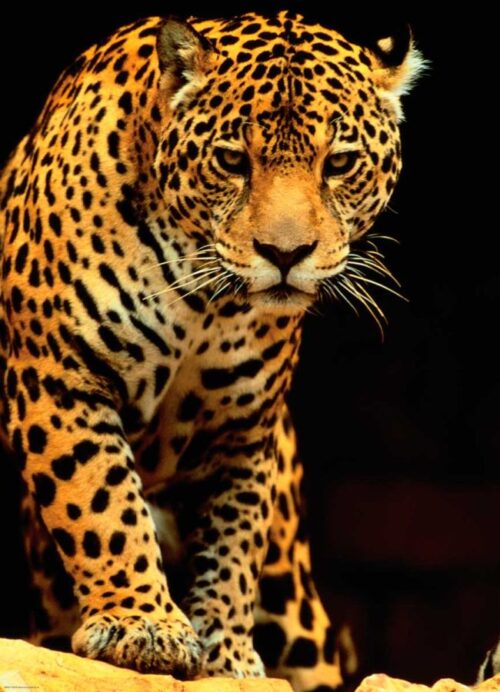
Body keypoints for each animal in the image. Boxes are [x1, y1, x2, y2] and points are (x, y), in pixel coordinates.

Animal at [0, 10, 424, 691]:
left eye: (338, 163)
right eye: (231, 160)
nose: (285, 254)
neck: (203, 297)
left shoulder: (244, 424)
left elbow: (234, 538)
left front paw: (226, 652)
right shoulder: (60, 377)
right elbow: (102, 502)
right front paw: (143, 624)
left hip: (295, 595)